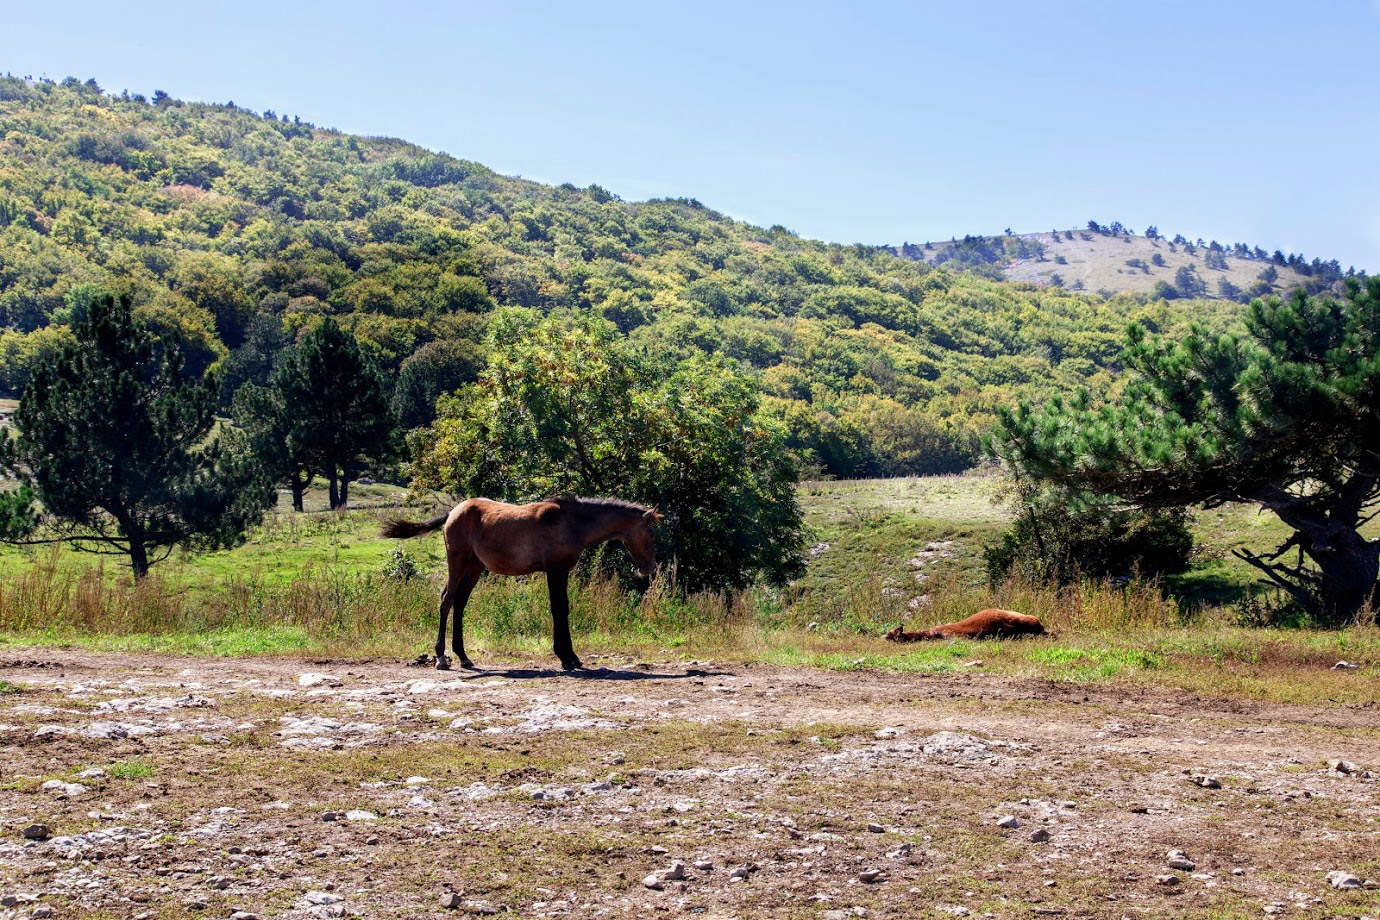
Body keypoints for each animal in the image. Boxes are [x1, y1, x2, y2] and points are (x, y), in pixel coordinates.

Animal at [378, 496, 656, 670]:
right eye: (650, 531)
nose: (649, 569)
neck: (571, 523)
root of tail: (453, 512)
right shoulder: (555, 571)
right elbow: (558, 609)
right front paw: (566, 657)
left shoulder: (562, 572)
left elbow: (563, 609)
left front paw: (572, 657)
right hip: (457, 562)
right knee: (447, 600)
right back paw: (441, 658)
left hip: (474, 567)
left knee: (460, 602)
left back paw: (464, 657)